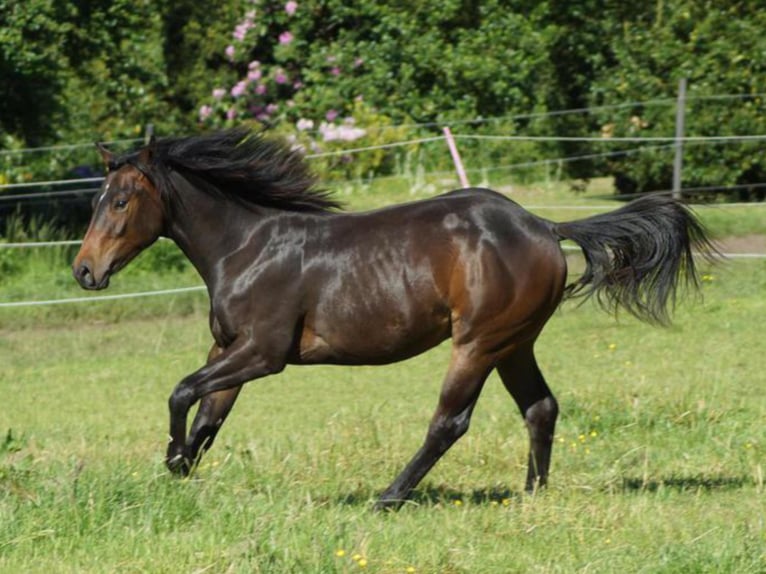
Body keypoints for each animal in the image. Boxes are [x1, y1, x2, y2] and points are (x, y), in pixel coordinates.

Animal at [72, 128, 715, 509]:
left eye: (121, 201)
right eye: (97, 199)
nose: (84, 271)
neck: (248, 247)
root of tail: (544, 226)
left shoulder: (264, 352)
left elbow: (182, 392)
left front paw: (172, 461)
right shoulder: (227, 349)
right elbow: (209, 416)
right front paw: (179, 470)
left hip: (478, 342)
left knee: (450, 422)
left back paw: (389, 496)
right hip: (515, 343)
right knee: (541, 407)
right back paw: (533, 493)